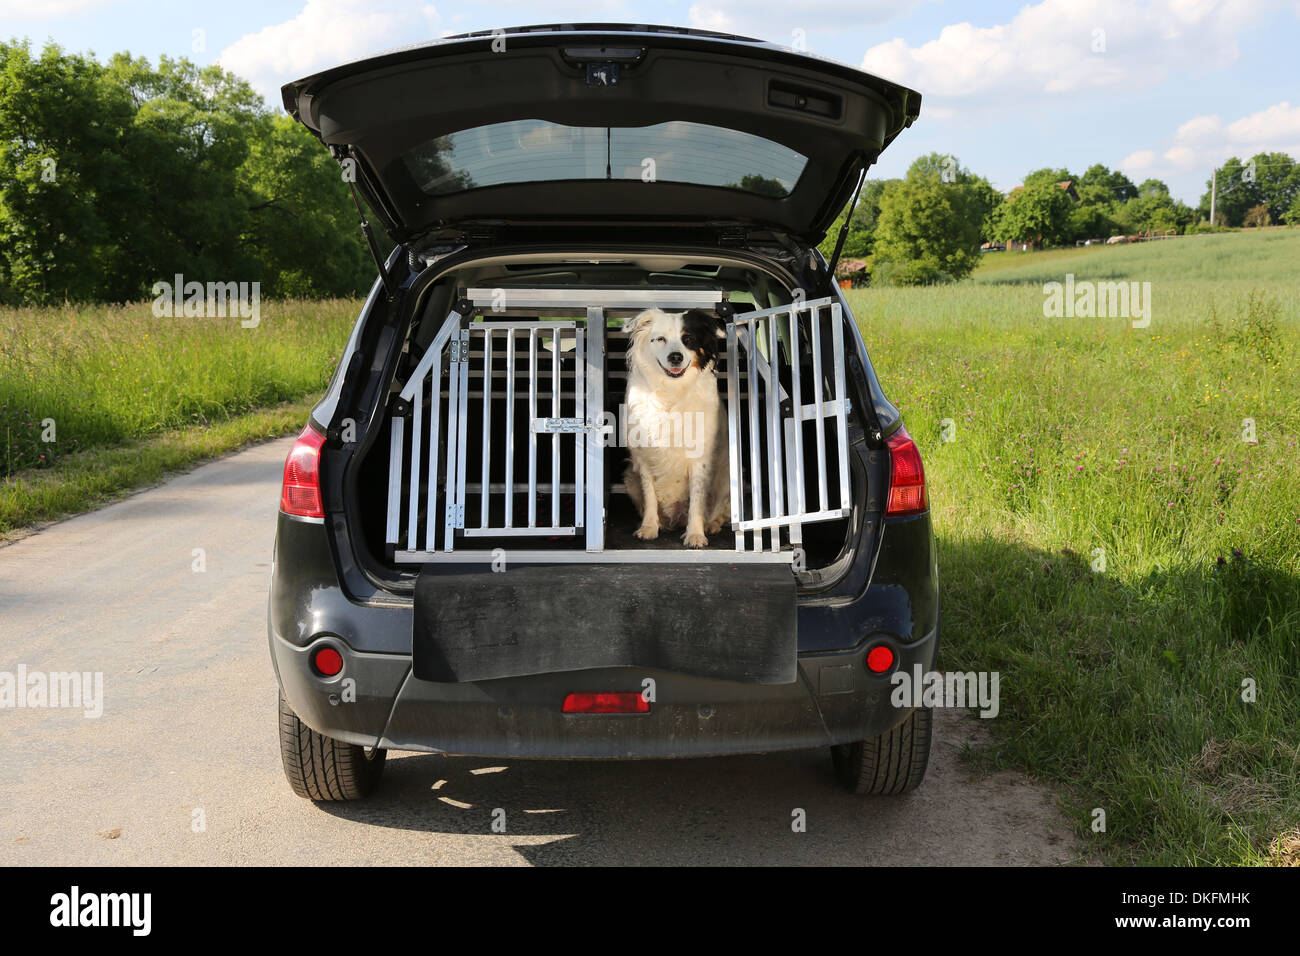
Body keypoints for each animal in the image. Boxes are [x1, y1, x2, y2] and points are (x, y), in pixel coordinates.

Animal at [621, 306, 733, 546]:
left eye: (688, 339)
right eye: (660, 339)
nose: (675, 357)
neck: (671, 390)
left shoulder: (701, 458)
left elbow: (697, 500)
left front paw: (695, 534)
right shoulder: (644, 458)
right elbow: (650, 496)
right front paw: (649, 527)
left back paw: (710, 525)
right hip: (629, 478)